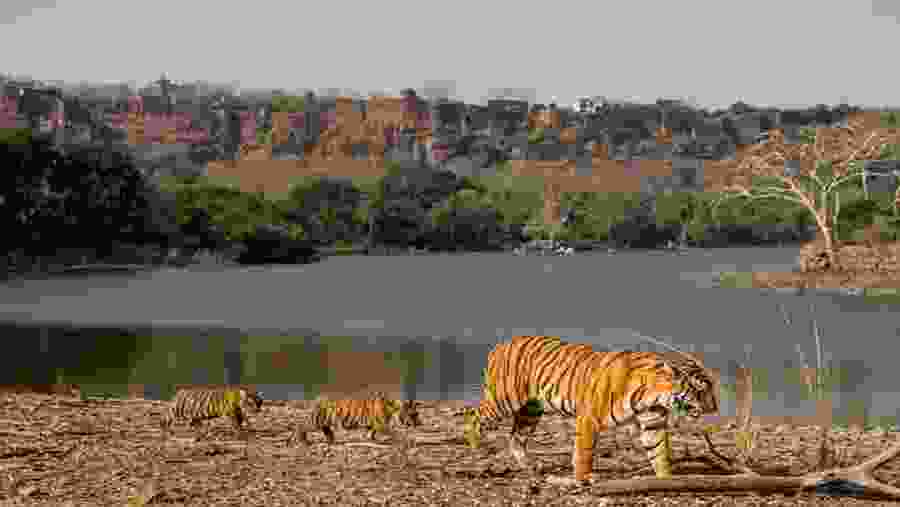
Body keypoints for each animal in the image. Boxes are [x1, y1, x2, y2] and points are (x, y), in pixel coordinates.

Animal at [289, 393, 422, 446]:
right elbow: (395, 433)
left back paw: (331, 439)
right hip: (317, 420)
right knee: (301, 425)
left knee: (326, 430)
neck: (392, 408)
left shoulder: (374, 425)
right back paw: (303, 441)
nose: (420, 423)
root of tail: (318, 398)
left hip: (324, 422)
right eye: (414, 414)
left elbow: (371, 433)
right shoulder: (381, 424)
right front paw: (407, 440)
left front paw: (371, 439)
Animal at [464, 335, 719, 483]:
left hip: (531, 410)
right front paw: (583, 479)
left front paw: (667, 479)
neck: (653, 396)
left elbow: (659, 453)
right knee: (474, 416)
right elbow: (584, 451)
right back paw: (476, 449)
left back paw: (532, 467)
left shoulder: (652, 424)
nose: (715, 408)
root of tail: (500, 344)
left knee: (515, 438)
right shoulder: (589, 418)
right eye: (700, 390)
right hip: (503, 400)